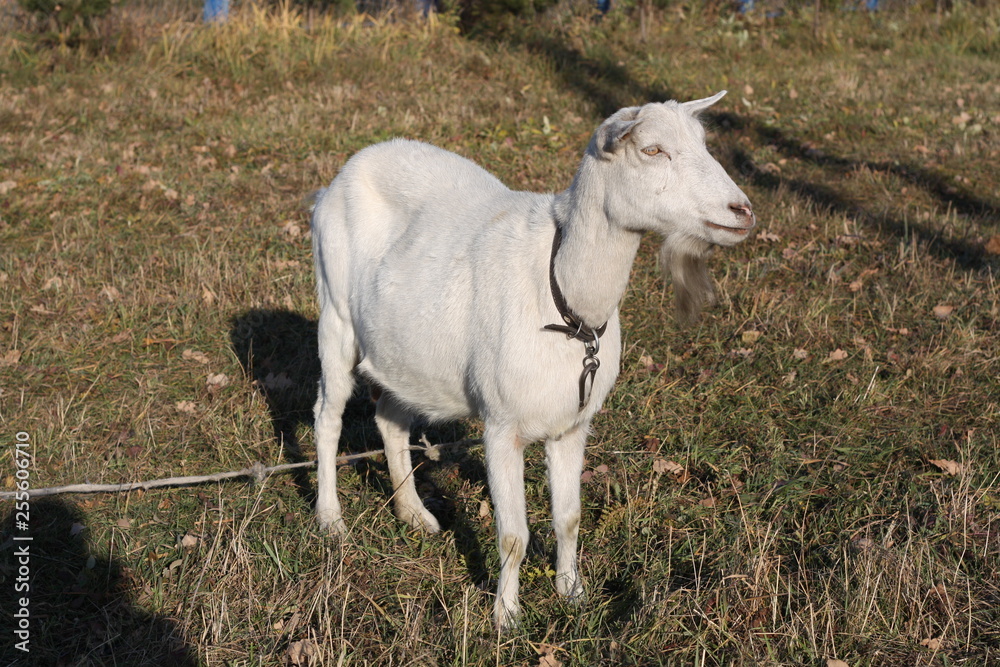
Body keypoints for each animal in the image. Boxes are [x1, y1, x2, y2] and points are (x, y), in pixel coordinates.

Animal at [309, 91, 754, 629]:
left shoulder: (573, 425)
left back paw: (414, 515)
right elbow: (513, 535)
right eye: (651, 150)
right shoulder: (502, 425)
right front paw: (506, 617)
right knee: (327, 417)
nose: (742, 210)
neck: (564, 296)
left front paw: (573, 593)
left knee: (390, 420)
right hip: (334, 312)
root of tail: (349, 168)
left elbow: (569, 519)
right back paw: (331, 521)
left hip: (404, 351)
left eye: (704, 142)